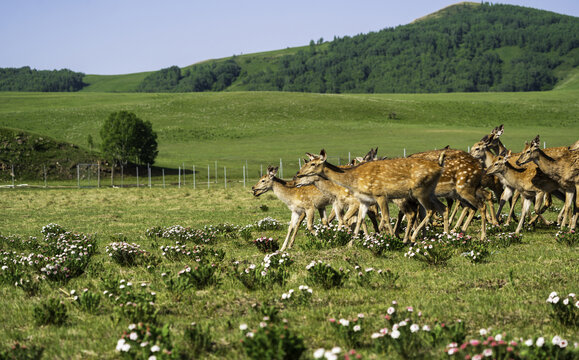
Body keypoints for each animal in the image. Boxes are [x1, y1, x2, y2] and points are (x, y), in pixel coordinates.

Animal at [296, 148, 446, 243]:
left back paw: (411, 237)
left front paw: (390, 237)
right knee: (438, 209)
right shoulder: (363, 200)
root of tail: (440, 166)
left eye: (313, 164)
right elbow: (357, 220)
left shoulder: (379, 195)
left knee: (426, 211)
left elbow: (384, 217)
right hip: (428, 193)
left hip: (418, 192)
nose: (297, 175)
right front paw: (350, 242)